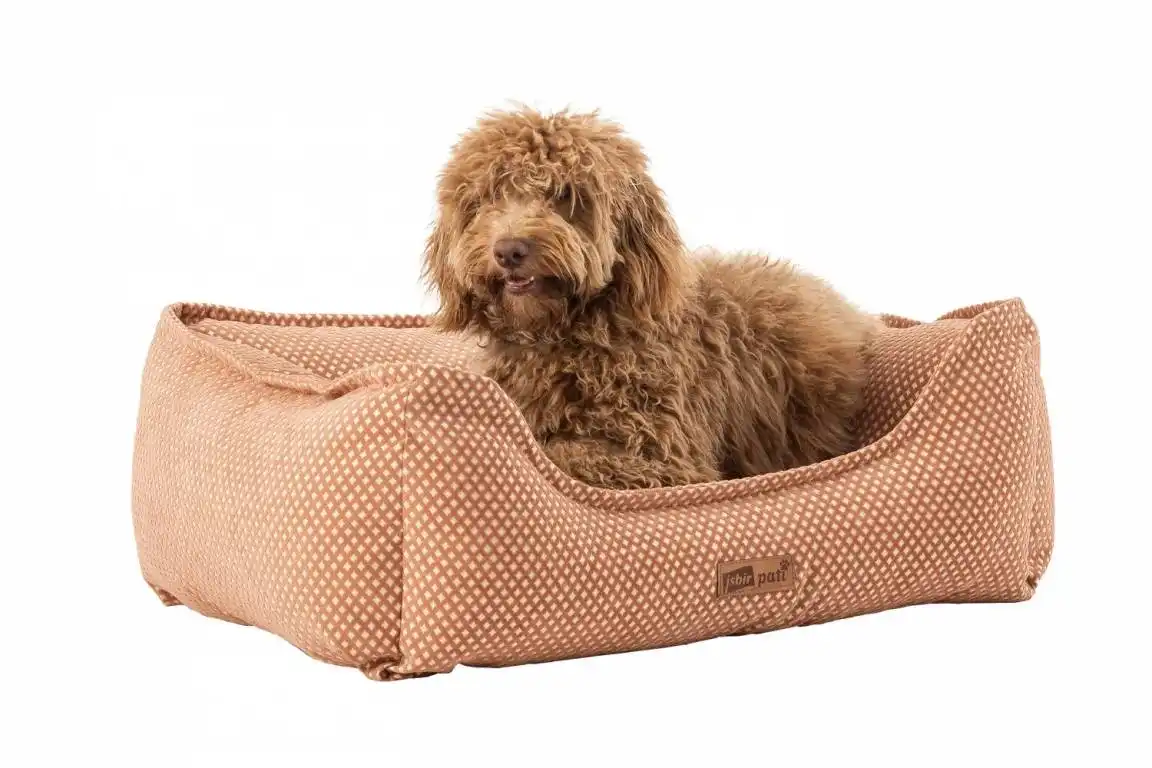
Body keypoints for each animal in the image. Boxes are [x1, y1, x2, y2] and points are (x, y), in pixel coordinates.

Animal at [423, 108, 879, 489]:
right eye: (486, 199)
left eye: (567, 196)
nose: (509, 250)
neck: (567, 334)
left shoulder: (660, 456)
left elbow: (562, 453)